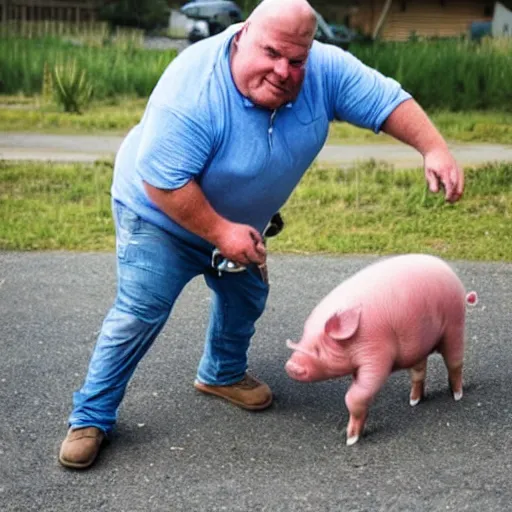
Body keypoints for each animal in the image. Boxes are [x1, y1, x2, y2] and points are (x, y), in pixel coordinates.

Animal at [284, 254, 476, 446]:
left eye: (317, 349)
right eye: (302, 340)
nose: (291, 365)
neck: (353, 340)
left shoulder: (376, 351)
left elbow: (355, 396)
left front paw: (351, 440)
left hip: (455, 324)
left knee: (454, 363)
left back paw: (457, 395)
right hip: (420, 343)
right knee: (419, 371)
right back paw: (413, 401)